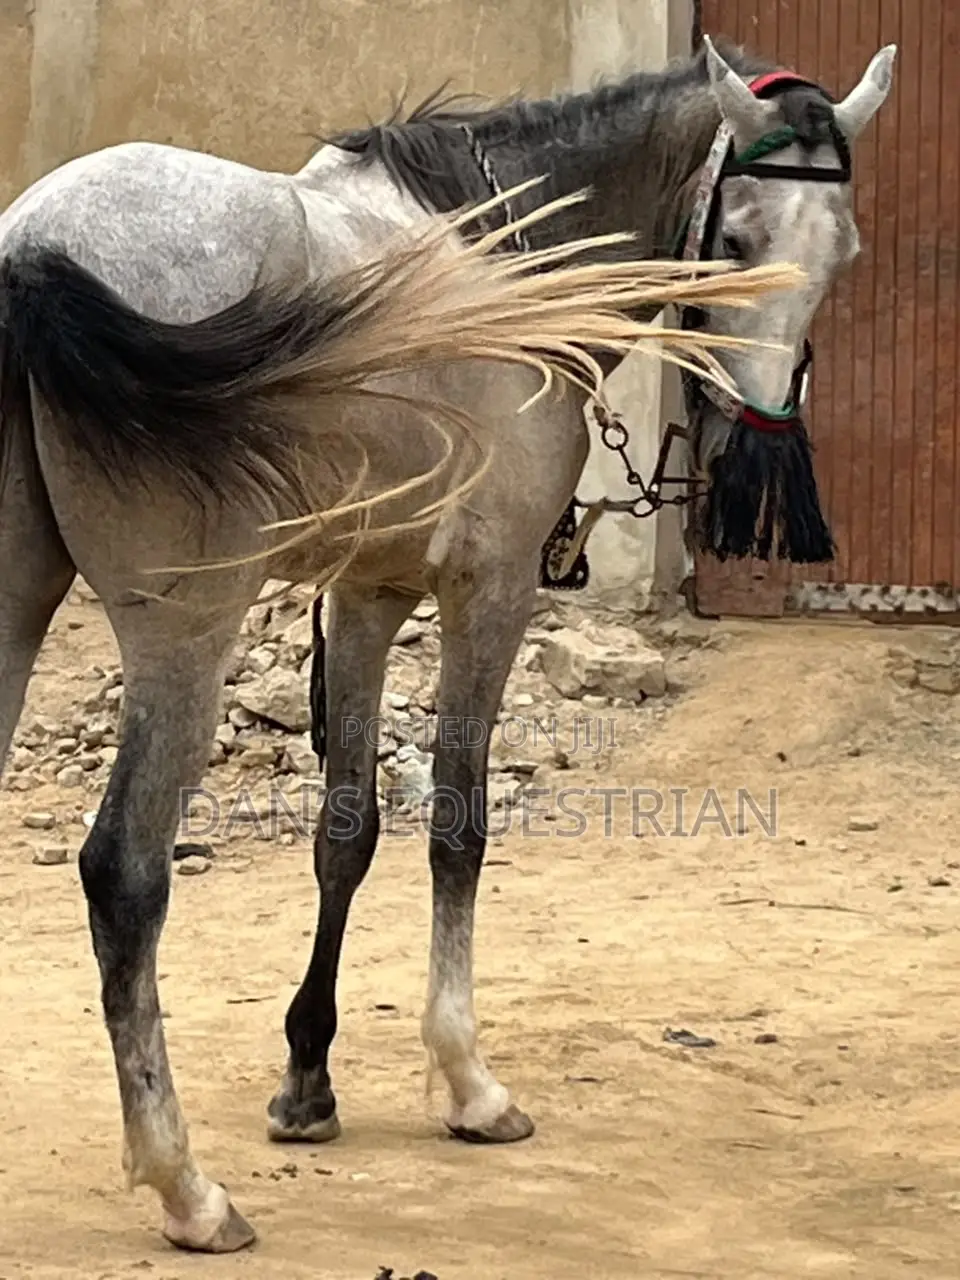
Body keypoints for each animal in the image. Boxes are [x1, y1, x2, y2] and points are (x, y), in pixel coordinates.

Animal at [0, 29, 894, 1254]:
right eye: (738, 242)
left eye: (840, 250)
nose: (759, 447)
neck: (497, 261)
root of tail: (33, 250)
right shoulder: (490, 589)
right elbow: (457, 828)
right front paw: (468, 1082)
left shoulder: (368, 592)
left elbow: (346, 831)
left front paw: (308, 1081)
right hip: (185, 635)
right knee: (125, 877)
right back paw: (186, 1188)